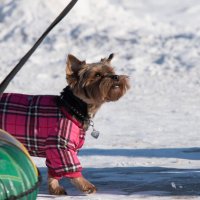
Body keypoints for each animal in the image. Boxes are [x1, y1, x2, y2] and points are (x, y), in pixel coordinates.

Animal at [0, 53, 130, 195]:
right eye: (97, 75)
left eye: (112, 72)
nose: (116, 77)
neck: (72, 107)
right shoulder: (60, 146)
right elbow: (70, 166)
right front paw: (86, 185)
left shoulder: (53, 150)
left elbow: (53, 171)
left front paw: (55, 188)